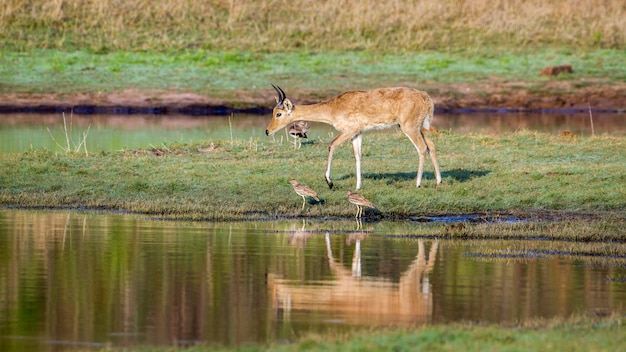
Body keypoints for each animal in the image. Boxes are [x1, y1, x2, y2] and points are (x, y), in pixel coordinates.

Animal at [266, 84, 442, 190]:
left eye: (279, 113)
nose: (267, 131)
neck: (333, 107)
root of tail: (425, 97)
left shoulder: (349, 130)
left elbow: (332, 145)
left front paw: (329, 182)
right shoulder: (357, 133)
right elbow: (357, 156)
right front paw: (358, 186)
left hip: (409, 128)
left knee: (422, 148)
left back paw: (417, 183)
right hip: (417, 128)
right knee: (431, 145)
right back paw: (438, 181)